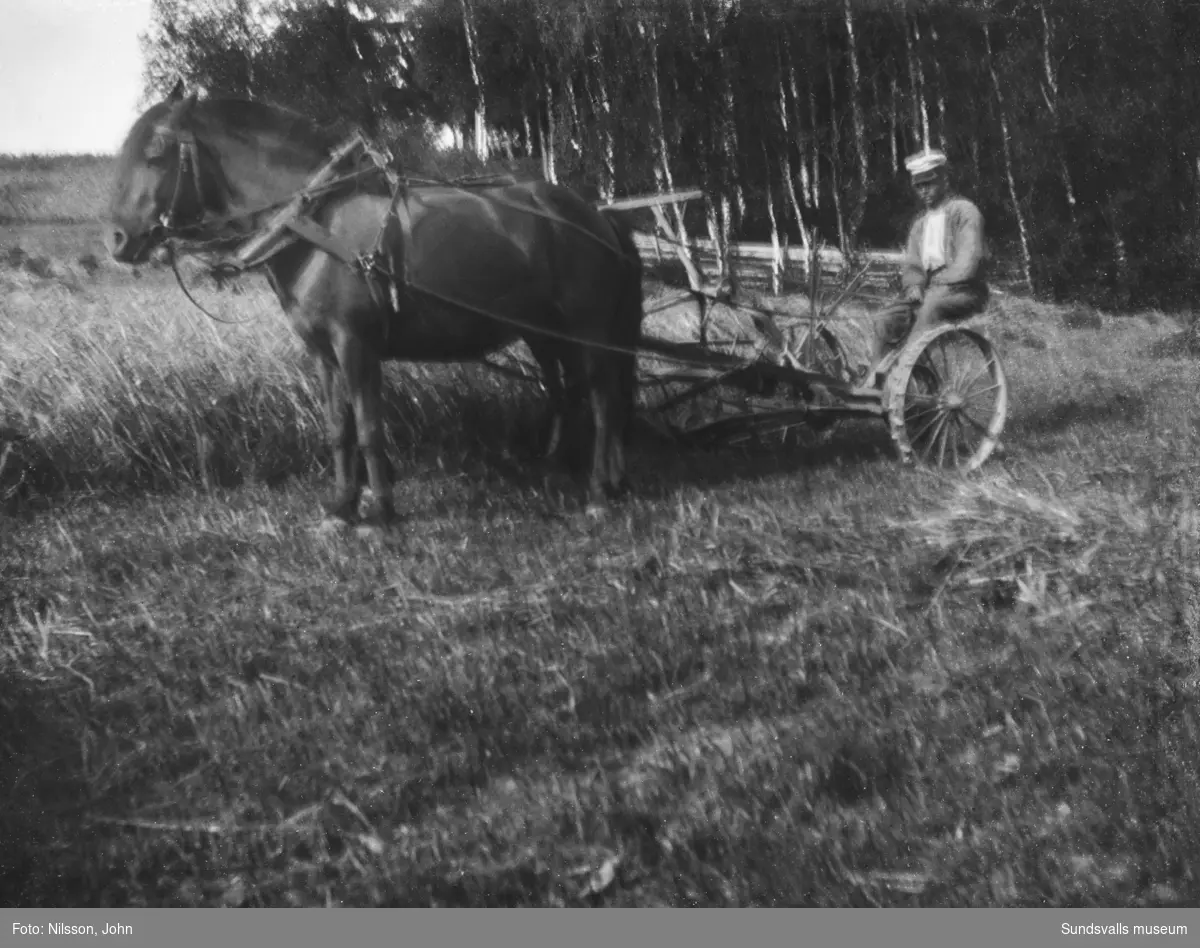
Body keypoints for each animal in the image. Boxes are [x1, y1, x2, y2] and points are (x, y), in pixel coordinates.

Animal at [106, 81, 643, 528]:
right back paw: (573, 473)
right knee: (571, 392)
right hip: (545, 331)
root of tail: (596, 215)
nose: (117, 239)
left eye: (155, 152)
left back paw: (599, 491)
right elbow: (338, 428)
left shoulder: (355, 345)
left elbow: (368, 427)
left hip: (589, 329)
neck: (314, 221)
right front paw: (341, 507)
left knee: (602, 399)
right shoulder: (323, 353)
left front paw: (380, 510)